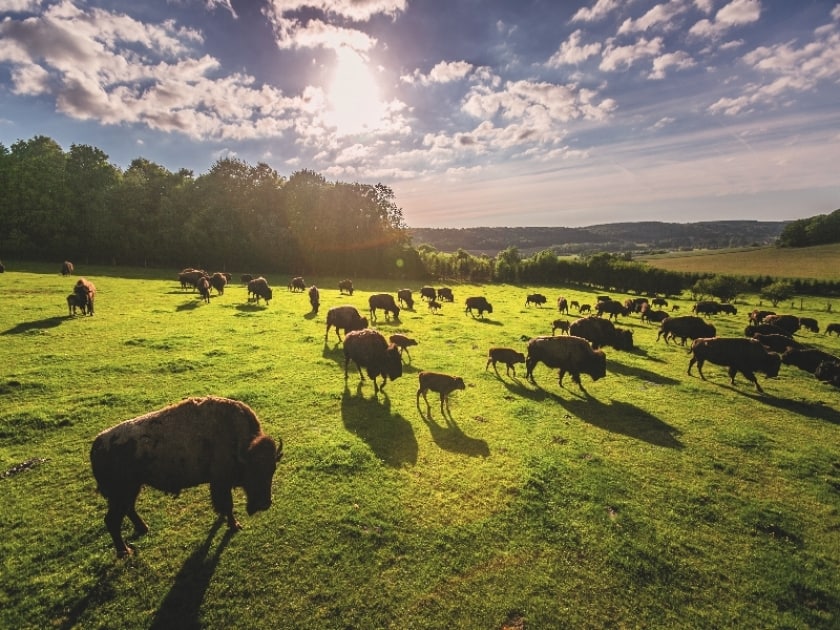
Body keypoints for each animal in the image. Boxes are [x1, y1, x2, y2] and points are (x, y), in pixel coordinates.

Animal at [90, 398, 282, 560]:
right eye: (253, 471)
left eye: (272, 469)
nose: (265, 504)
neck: (239, 445)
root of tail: (97, 446)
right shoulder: (221, 483)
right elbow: (228, 505)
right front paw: (235, 525)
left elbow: (223, 506)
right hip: (121, 493)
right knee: (112, 520)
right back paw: (125, 551)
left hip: (131, 490)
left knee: (128, 509)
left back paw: (143, 529)